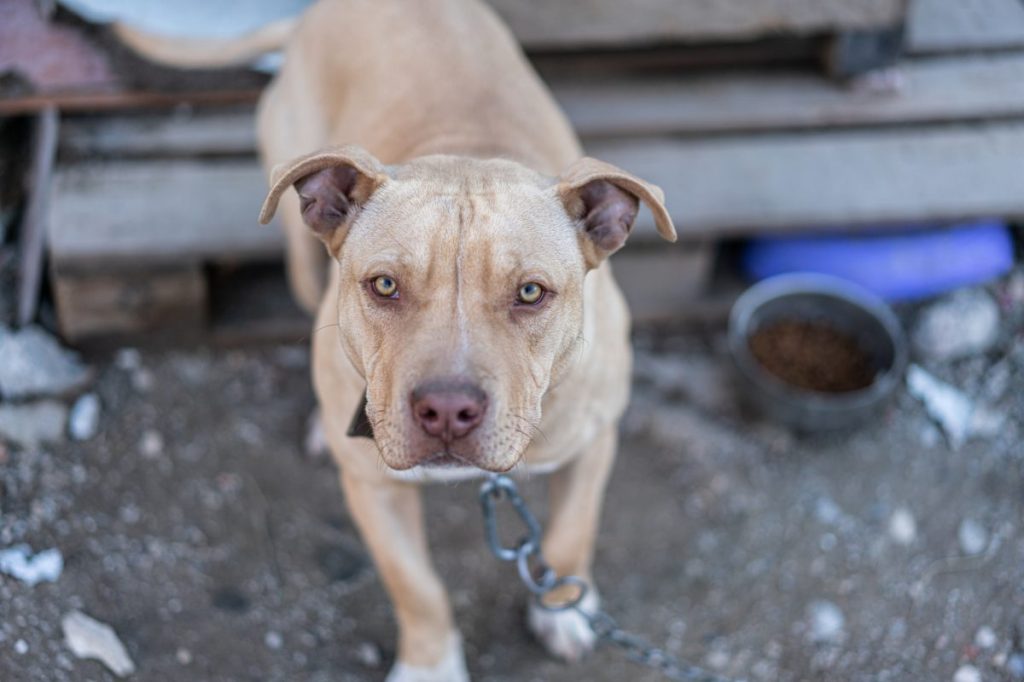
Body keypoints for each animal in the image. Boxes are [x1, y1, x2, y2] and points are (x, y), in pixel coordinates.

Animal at [116, 2, 675, 675]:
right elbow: (417, 587)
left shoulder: (595, 440)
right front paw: (430, 667)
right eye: (384, 285)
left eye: (530, 293)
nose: (448, 410)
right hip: (301, 260)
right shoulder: (373, 489)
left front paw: (561, 608)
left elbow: (571, 534)